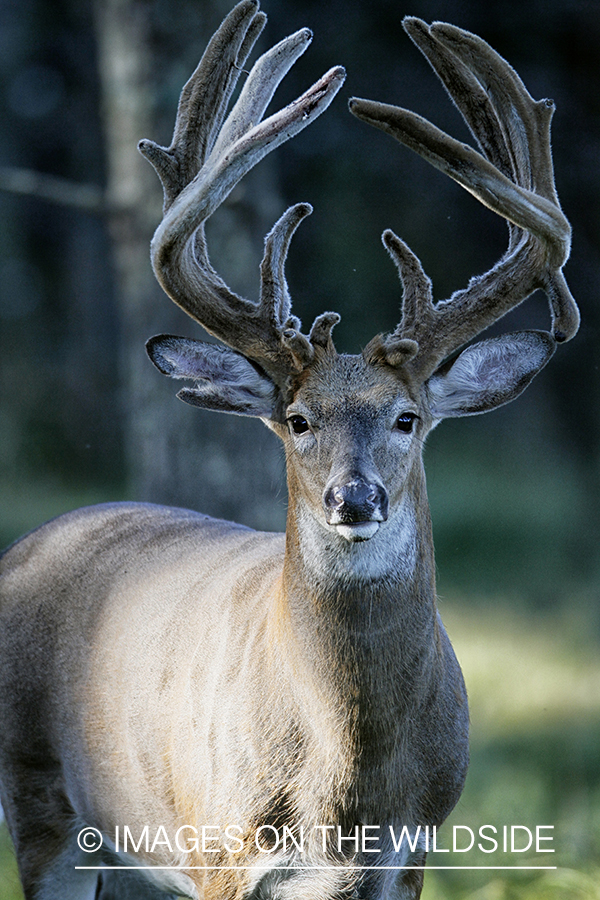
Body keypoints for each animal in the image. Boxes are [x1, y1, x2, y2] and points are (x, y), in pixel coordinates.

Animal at [0, 1, 580, 900]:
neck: (345, 787)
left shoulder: (411, 852)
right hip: (44, 804)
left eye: (408, 418)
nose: (355, 498)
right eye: (299, 419)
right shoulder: (220, 848)